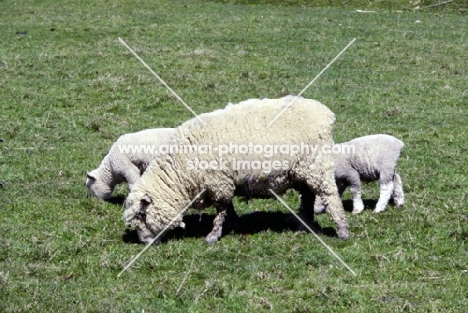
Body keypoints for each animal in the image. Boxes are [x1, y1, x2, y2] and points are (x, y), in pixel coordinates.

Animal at [122, 95, 350, 244]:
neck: (182, 172)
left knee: (330, 196)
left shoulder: (218, 183)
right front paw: (235, 225)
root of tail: (325, 114)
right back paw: (304, 224)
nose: (145, 243)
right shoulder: (223, 182)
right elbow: (228, 208)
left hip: (317, 165)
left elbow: (221, 210)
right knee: (309, 195)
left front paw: (213, 236)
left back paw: (342, 230)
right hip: (301, 171)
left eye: (142, 215)